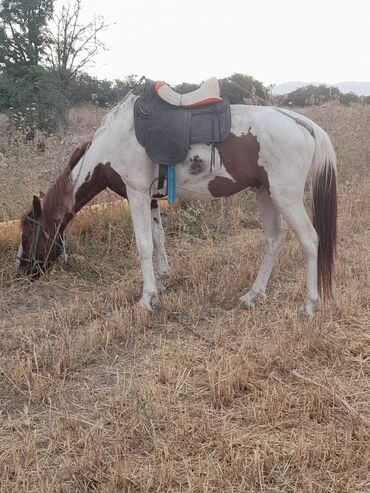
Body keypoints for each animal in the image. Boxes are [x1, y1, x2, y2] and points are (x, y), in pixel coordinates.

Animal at [15, 87, 336, 316]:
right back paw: (252, 295)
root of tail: (301, 122)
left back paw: (309, 305)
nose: (23, 272)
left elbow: (144, 246)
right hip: (264, 193)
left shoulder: (136, 194)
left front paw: (146, 300)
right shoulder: (151, 199)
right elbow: (158, 241)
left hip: (285, 197)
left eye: (28, 233)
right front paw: (161, 283)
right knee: (273, 240)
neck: (112, 144)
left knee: (310, 241)